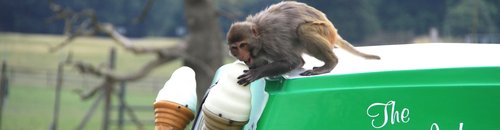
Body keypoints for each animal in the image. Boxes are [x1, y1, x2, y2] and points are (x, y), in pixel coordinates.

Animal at [229, 1, 380, 86]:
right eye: (235, 47)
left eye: (243, 45)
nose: (241, 55)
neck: (259, 38)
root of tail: (334, 31)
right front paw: (253, 69)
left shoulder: (271, 42)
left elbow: (293, 61)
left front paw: (257, 73)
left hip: (324, 31)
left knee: (303, 30)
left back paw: (330, 63)